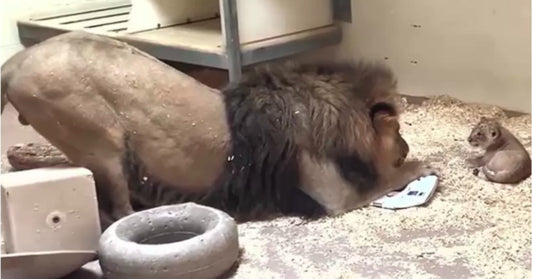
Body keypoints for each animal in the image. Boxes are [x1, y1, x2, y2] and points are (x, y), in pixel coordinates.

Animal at [1, 31, 436, 226]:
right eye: (397, 130)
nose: (405, 146)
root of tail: (16, 62)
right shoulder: (333, 196)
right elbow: (385, 179)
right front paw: (421, 166)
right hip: (100, 140)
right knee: (118, 209)